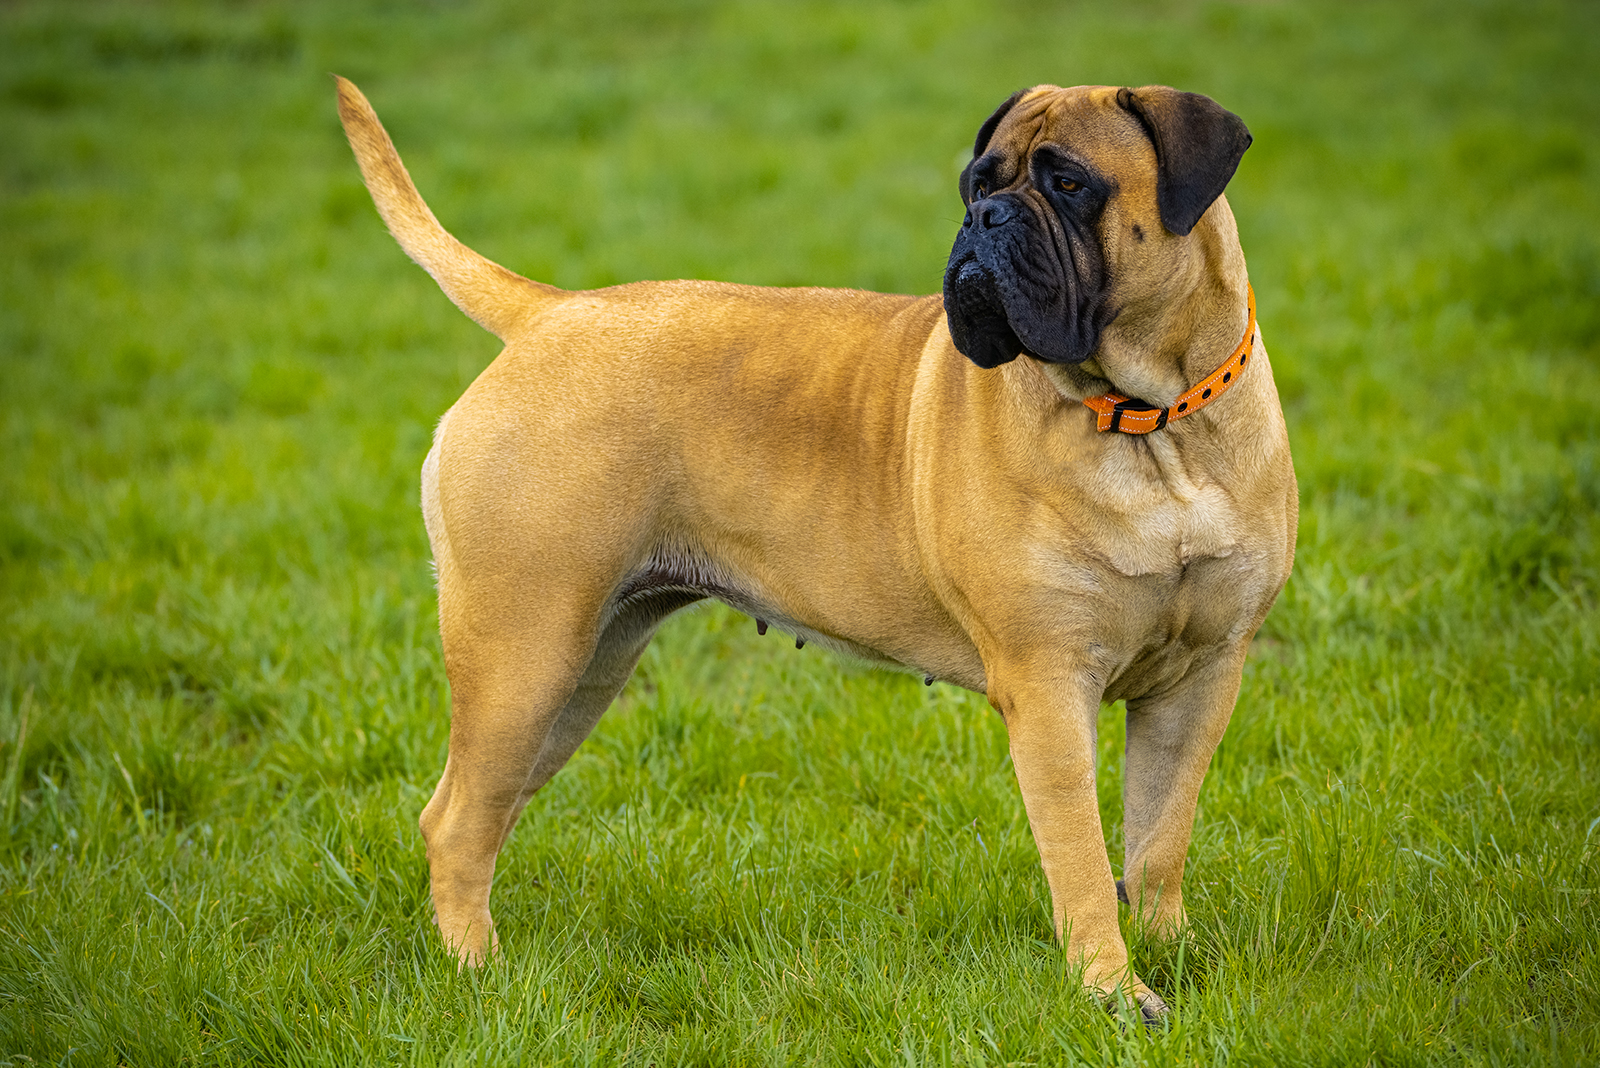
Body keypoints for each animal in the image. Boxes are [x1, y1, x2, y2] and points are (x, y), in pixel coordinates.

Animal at [337, 70, 1299, 1023]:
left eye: (1069, 184)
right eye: (978, 184)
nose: (983, 221)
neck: (1152, 424)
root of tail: (550, 315)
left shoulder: (1203, 676)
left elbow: (1159, 838)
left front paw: (1168, 949)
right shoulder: (1050, 685)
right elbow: (1083, 860)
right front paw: (1111, 990)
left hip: (581, 670)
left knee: (477, 811)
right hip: (524, 653)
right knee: (458, 823)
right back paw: (476, 971)